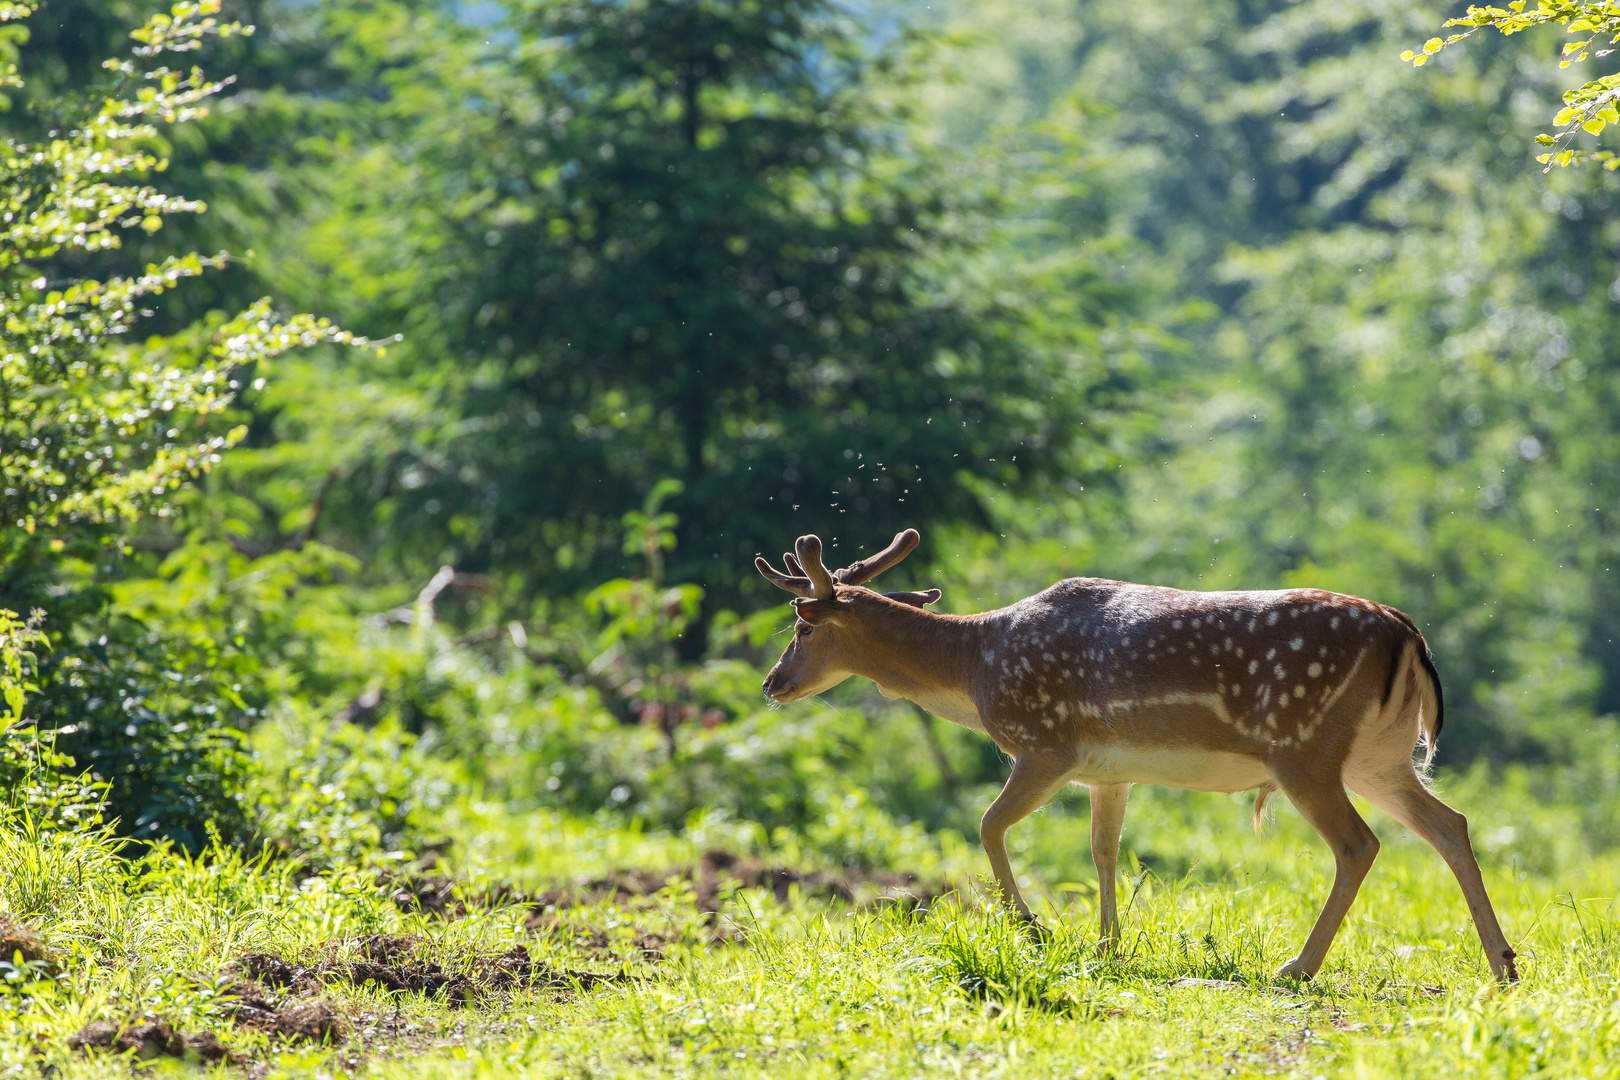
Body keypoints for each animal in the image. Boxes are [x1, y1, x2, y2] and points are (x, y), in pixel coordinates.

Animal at [758, 527, 1516, 984]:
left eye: (802, 626)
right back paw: (1503, 963)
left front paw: (1033, 929)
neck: (974, 672)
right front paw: (1106, 945)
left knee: (1360, 844)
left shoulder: (1046, 742)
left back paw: (1296, 966)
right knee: (1450, 823)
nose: (772, 683)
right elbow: (1103, 849)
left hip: (1304, 746)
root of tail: (1406, 632)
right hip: (1378, 756)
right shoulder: (1108, 769)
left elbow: (988, 825)